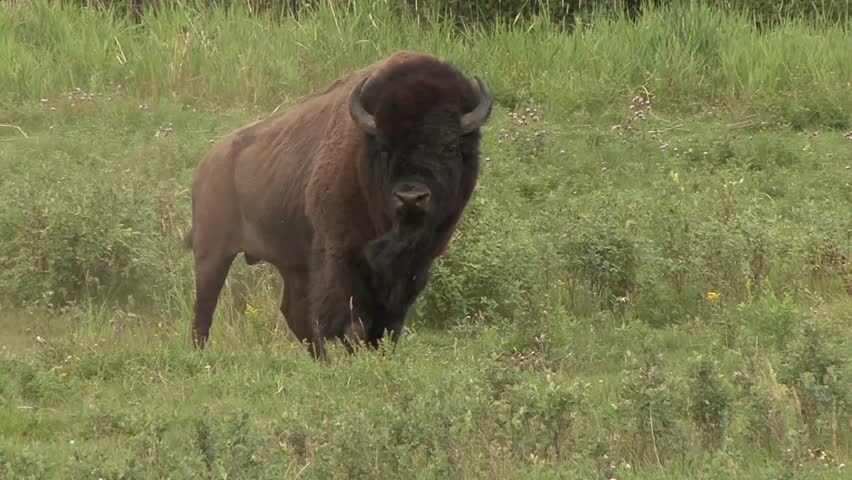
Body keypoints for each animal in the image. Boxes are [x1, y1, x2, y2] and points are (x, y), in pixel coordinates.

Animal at [182, 51, 493, 361]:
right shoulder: (341, 252)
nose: (410, 197)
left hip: (291, 263)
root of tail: (207, 164)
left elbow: (390, 322)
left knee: (293, 313)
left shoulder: (414, 265)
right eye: (384, 148)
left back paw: (323, 361)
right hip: (212, 254)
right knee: (204, 310)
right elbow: (351, 317)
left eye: (449, 148)